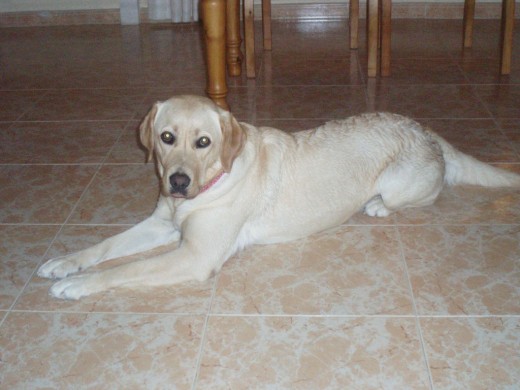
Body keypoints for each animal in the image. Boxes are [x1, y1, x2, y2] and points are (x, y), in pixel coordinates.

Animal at [37, 96, 520, 300]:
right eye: (166, 137)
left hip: (401, 183)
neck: (211, 181)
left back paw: (378, 205)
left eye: (204, 142)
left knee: (430, 193)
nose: (176, 182)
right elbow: (106, 246)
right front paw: (64, 262)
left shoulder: (195, 255)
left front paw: (77, 284)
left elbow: (126, 268)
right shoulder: (161, 222)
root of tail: (425, 129)